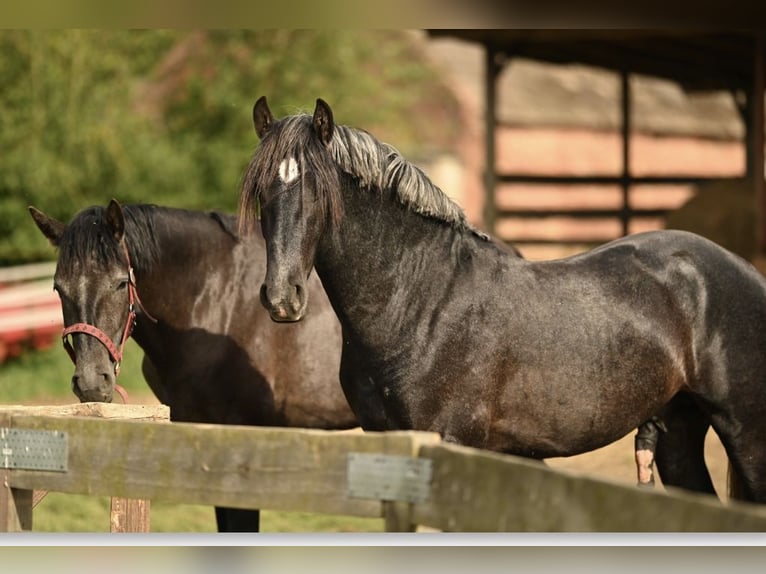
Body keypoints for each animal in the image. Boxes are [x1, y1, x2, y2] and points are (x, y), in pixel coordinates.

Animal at [238, 98, 766, 504]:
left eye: (317, 190)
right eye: (262, 191)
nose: (282, 297)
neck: (419, 304)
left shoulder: (450, 445)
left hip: (747, 435)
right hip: (679, 434)